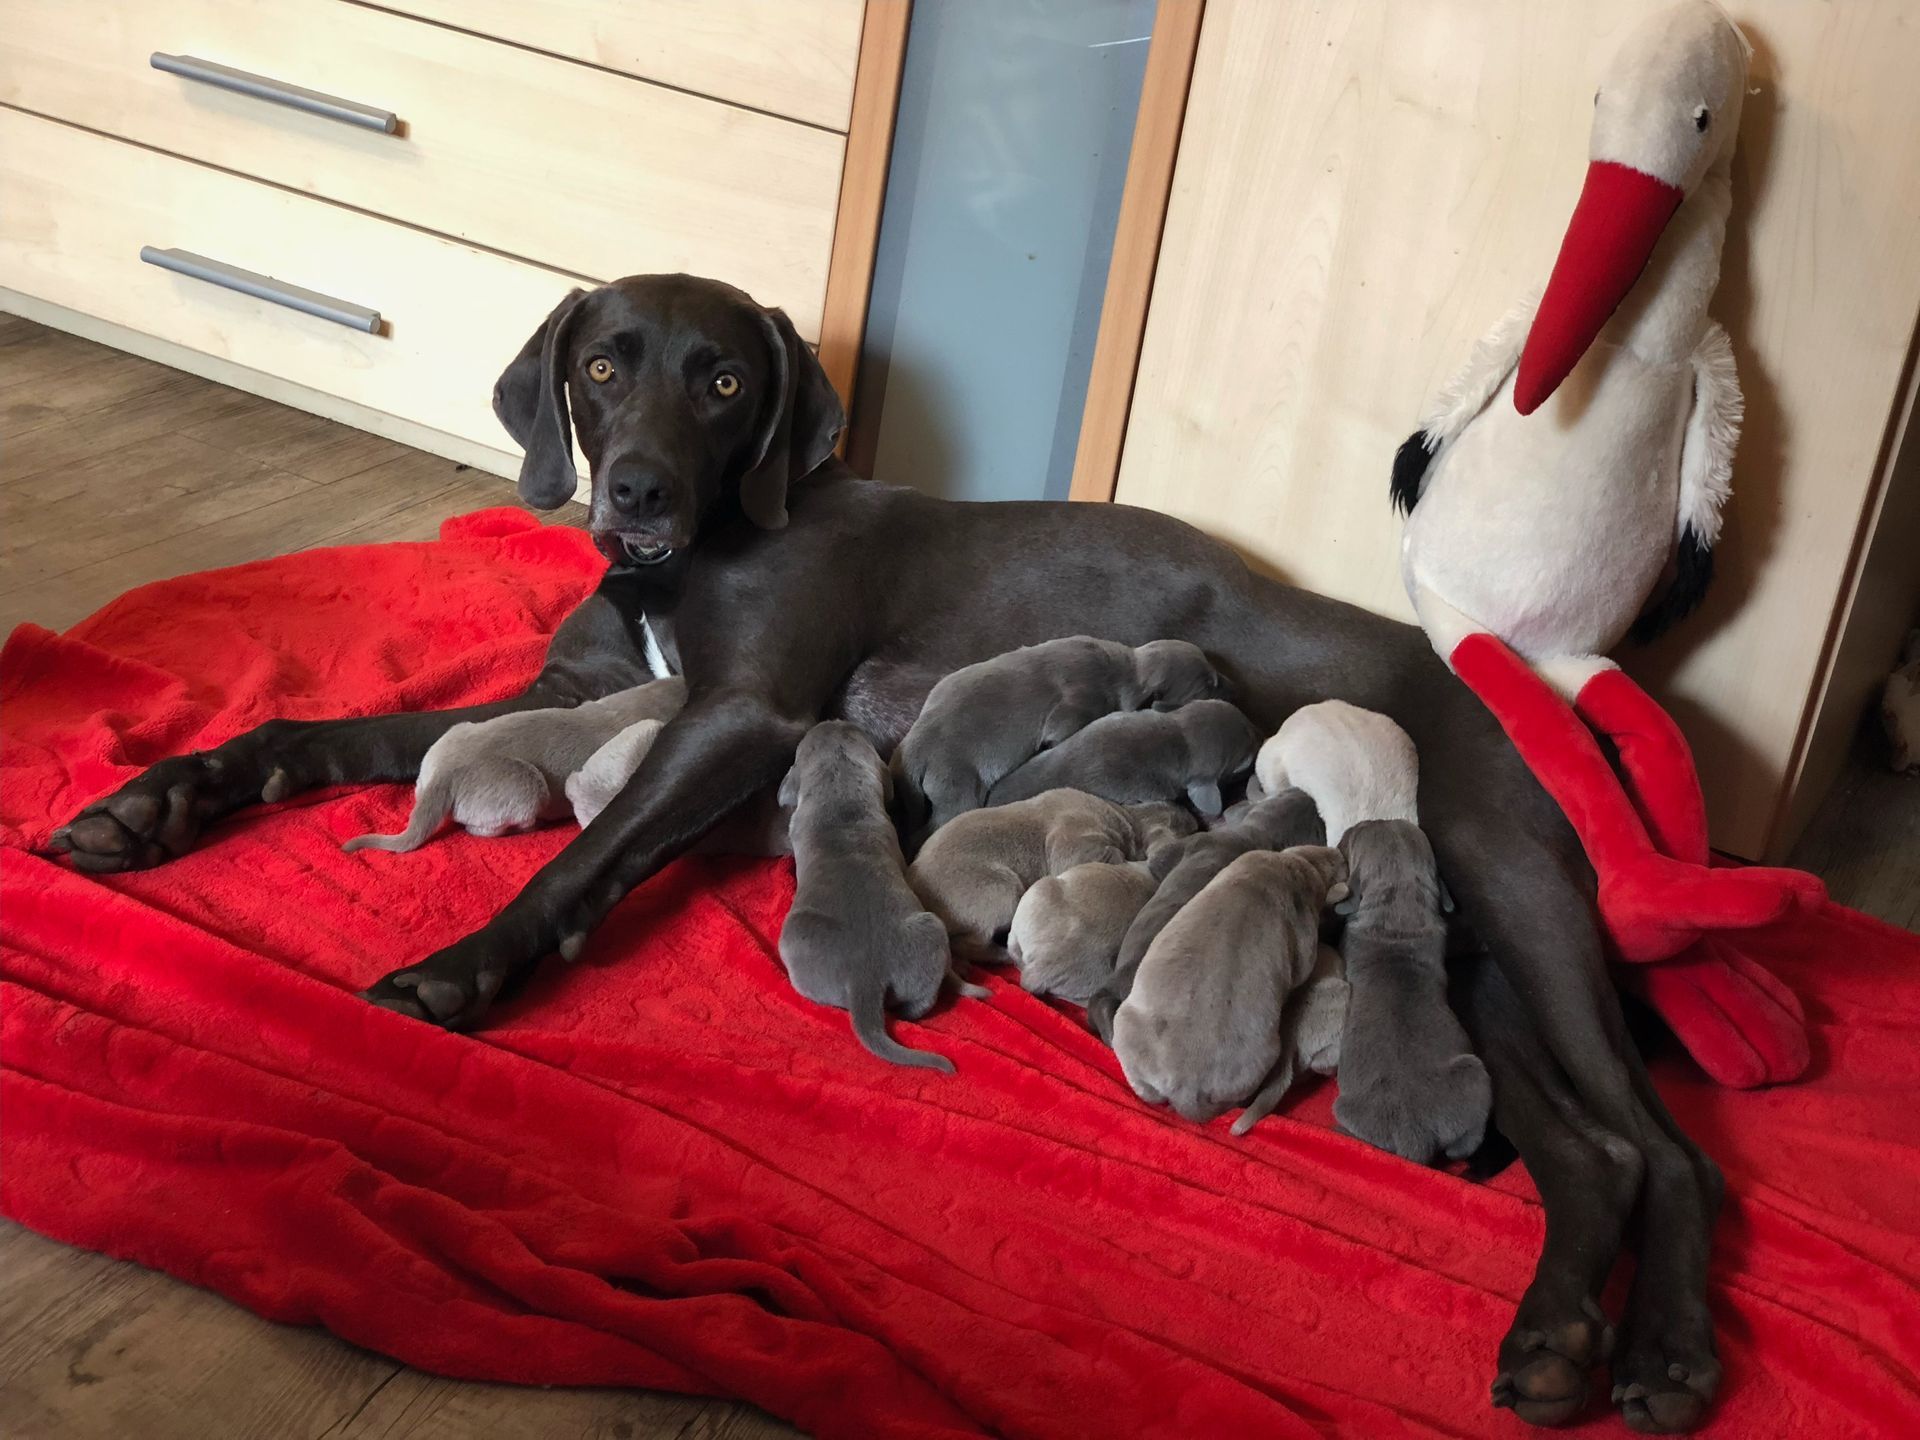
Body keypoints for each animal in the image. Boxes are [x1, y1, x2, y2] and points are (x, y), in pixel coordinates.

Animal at [776, 721, 955, 1072]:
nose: (833, 720)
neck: (840, 797)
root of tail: (864, 979)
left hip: (792, 937)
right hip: (929, 929)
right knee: (922, 1000)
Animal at [891, 636, 1225, 837]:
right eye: (1207, 685)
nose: (1230, 687)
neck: (1124, 670)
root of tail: (914, 750)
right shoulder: (1078, 704)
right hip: (957, 788)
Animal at [1087, 787, 1324, 1043]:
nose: (1306, 792)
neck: (1261, 836)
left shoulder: (1197, 842)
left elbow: (1159, 861)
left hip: (1114, 985)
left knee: (1100, 1003)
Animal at [1329, 819, 1491, 1163]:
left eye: (1355, 836)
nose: (1375, 819)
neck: (1398, 913)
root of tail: (1416, 1136)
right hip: (1474, 1073)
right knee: (1462, 1145)